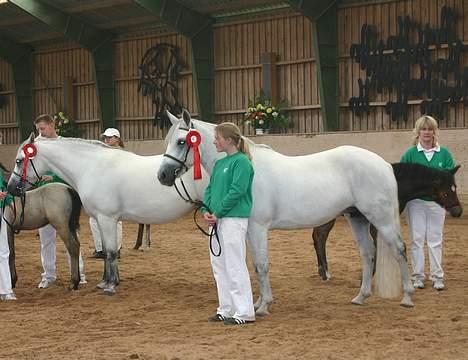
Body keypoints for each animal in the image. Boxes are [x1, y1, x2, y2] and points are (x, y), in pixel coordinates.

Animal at [7, 134, 207, 294]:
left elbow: (110, 252)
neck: (91, 168)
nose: (11, 188)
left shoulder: (107, 218)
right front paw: (105, 282)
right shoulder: (100, 219)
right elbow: (105, 251)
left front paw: (110, 285)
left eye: (18, 160)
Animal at [159, 111, 414, 314]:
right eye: (168, 141)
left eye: (181, 141)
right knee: (368, 253)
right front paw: (258, 302)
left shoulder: (258, 227)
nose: (163, 175)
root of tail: (383, 164)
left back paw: (407, 297)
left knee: (399, 249)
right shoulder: (249, 229)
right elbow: (255, 265)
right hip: (357, 218)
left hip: (381, 218)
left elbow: (262, 264)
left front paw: (263, 306)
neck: (249, 167)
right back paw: (361, 297)